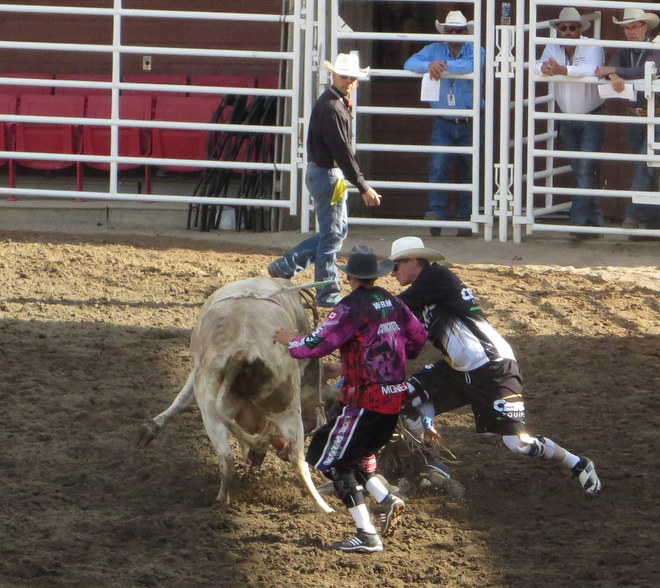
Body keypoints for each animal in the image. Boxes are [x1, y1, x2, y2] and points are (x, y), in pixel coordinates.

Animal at [137, 276, 334, 514]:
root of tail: (245, 352)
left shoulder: (195, 375)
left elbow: (182, 399)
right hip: (280, 411)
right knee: (290, 459)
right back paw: (321, 506)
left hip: (212, 409)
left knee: (234, 457)